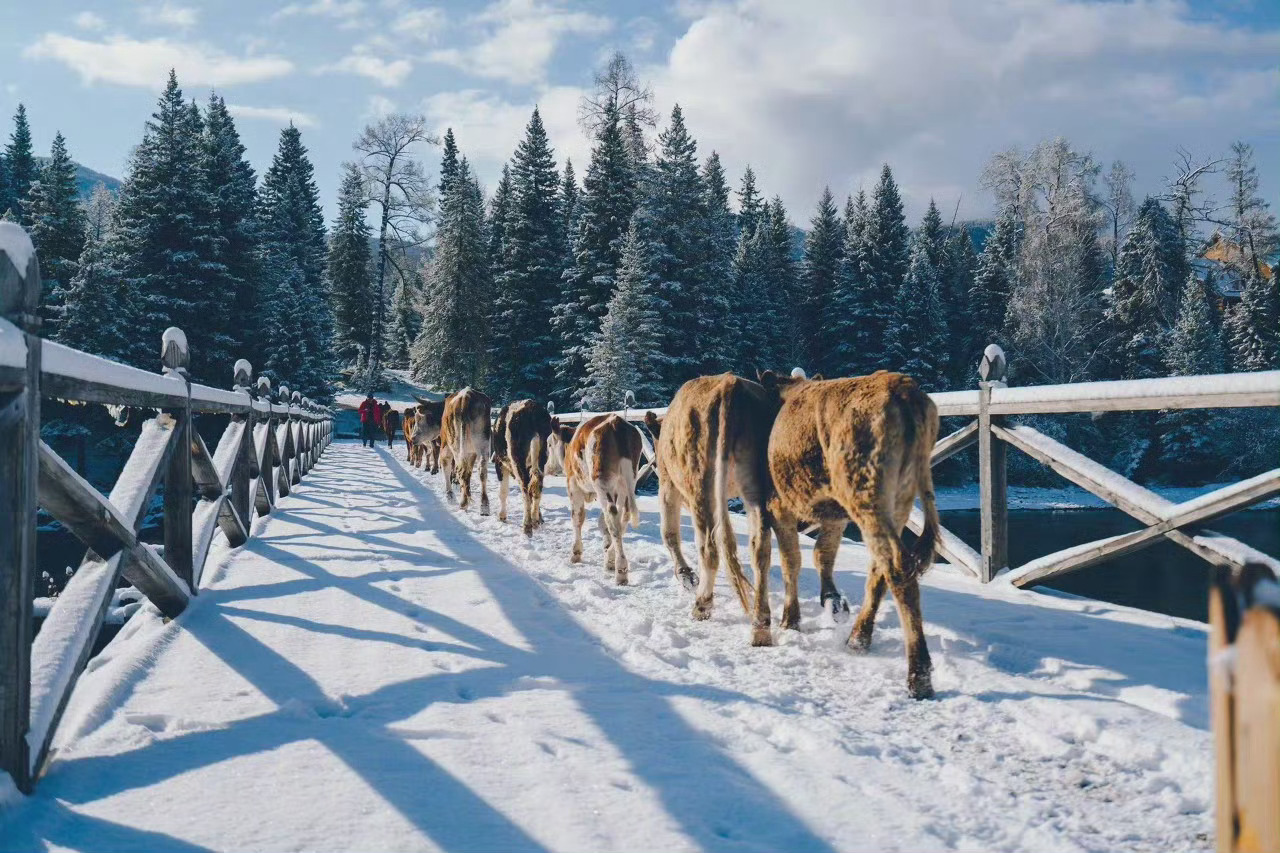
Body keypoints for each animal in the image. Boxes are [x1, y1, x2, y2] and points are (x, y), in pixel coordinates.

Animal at [492, 400, 553, 535]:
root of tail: (531, 409)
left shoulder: (500, 464)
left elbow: (503, 492)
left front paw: (502, 516)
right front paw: (540, 518)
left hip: (517, 459)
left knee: (525, 488)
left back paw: (527, 525)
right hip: (542, 458)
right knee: (537, 485)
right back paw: (534, 521)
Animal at [564, 414, 643, 585]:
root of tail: (616, 422)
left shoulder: (573, 484)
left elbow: (577, 518)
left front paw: (576, 553)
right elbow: (602, 522)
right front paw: (607, 548)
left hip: (601, 480)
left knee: (612, 517)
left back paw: (621, 570)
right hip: (626, 481)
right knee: (623, 515)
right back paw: (611, 560)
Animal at [647, 375, 776, 622]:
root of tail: (730, 385)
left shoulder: (667, 484)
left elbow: (668, 533)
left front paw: (685, 575)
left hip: (701, 486)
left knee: (709, 548)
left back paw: (702, 604)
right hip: (755, 489)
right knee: (760, 548)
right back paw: (761, 616)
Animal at [765, 370, 941, 699]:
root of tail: (902, 386)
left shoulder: (779, 504)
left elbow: (791, 561)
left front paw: (790, 621)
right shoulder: (834, 515)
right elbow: (822, 553)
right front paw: (832, 601)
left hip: (863, 488)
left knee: (897, 567)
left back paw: (918, 677)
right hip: (898, 499)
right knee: (879, 569)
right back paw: (858, 639)